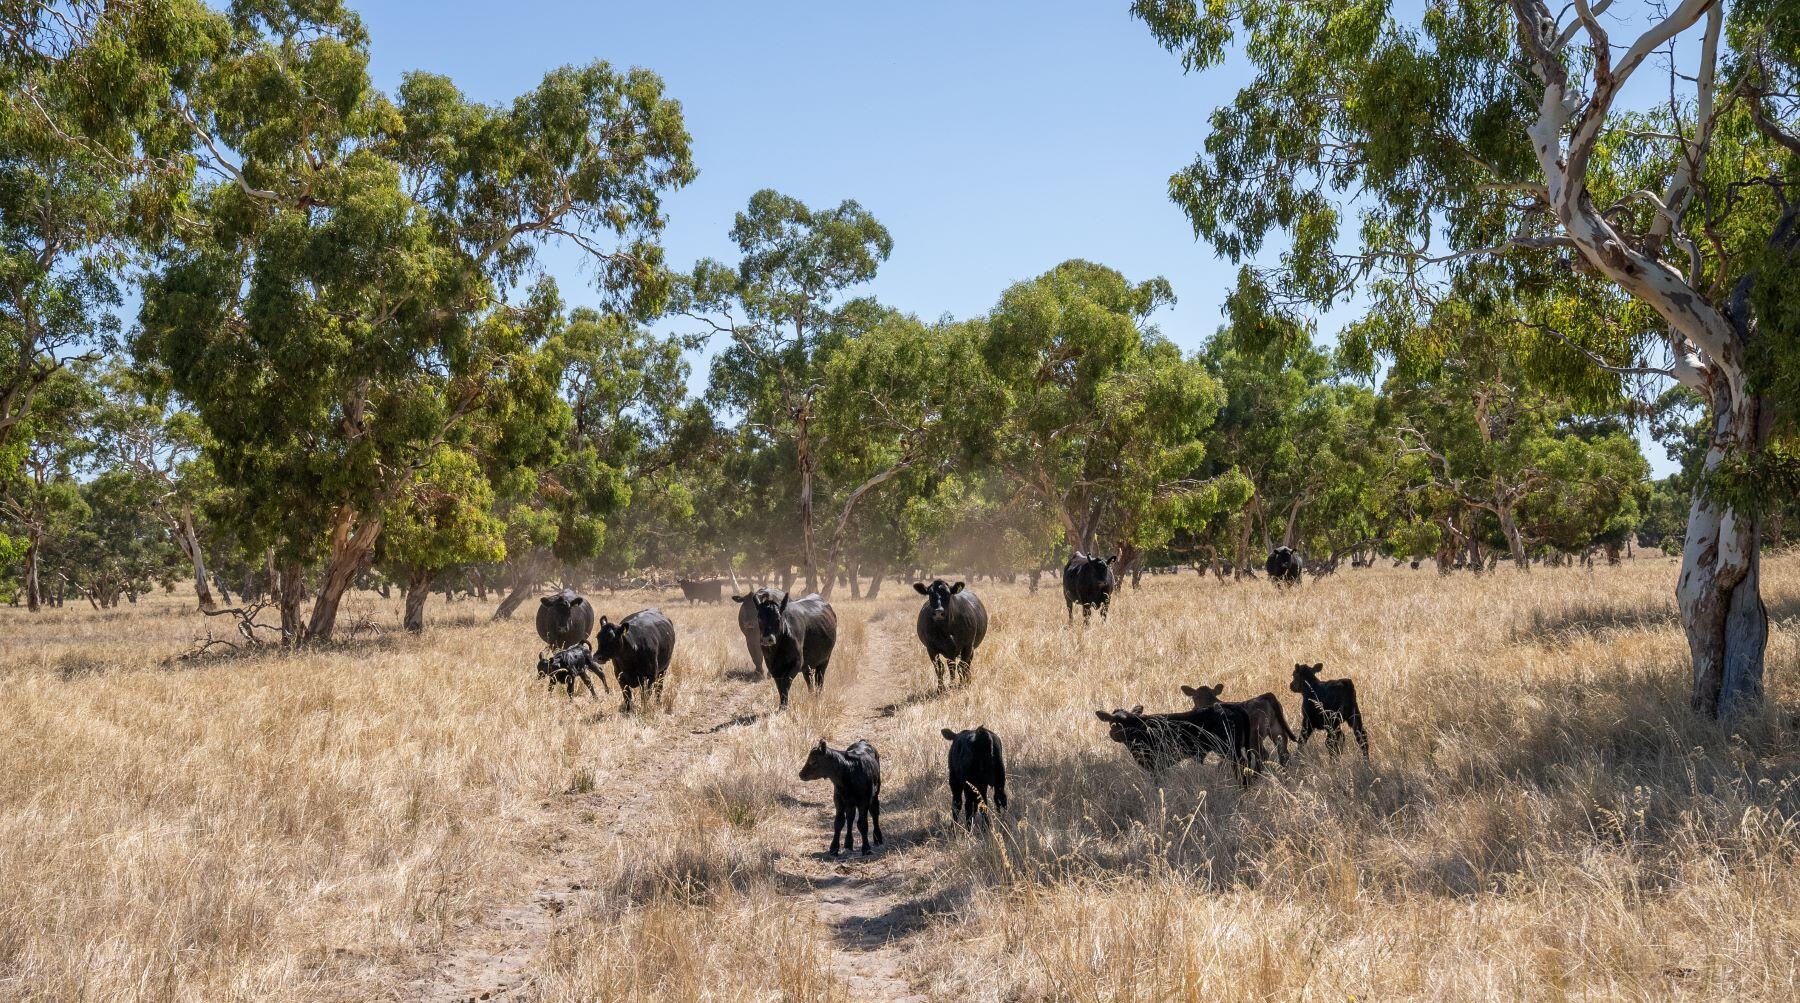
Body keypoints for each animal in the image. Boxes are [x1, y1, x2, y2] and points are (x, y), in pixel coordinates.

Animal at [1094, 698, 1252, 777]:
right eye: (1111, 722)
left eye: (1129, 722)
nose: (1114, 734)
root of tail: (1233, 707)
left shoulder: (1155, 764)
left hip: (1230, 749)